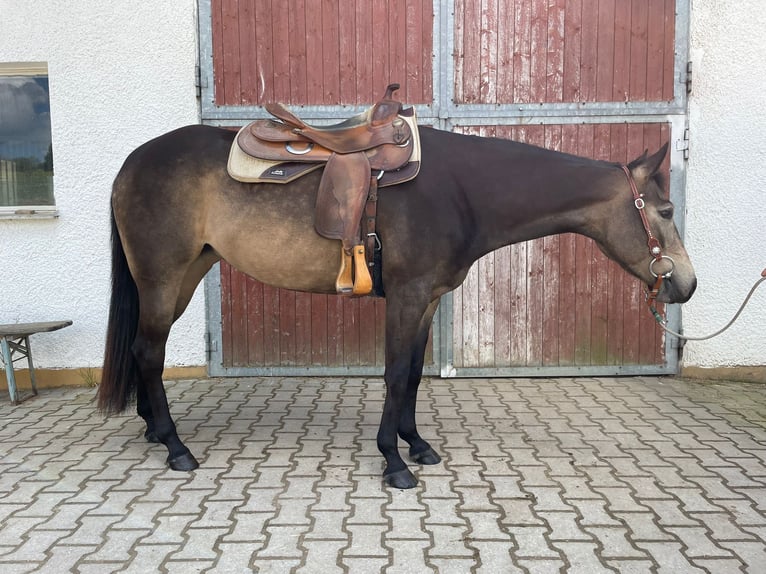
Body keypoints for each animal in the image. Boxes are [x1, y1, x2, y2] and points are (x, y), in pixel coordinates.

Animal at [98, 122, 697, 489]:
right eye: (666, 210)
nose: (687, 285)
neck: (461, 190)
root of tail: (130, 163)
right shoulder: (407, 296)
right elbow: (391, 374)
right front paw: (392, 461)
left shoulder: (427, 299)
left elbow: (410, 374)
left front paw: (417, 445)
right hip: (162, 278)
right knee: (148, 353)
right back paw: (176, 448)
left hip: (184, 275)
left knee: (144, 350)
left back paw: (153, 429)